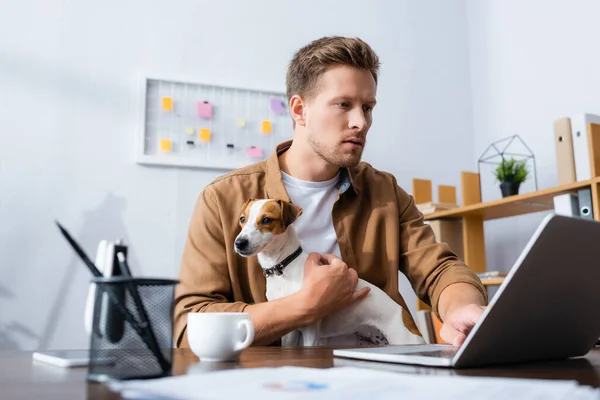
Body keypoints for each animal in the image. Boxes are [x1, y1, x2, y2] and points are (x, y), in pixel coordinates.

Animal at [232, 198, 424, 346]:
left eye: (266, 220)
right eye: (242, 219)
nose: (239, 243)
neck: (283, 267)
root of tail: (405, 316)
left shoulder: (310, 330)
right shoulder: (289, 330)